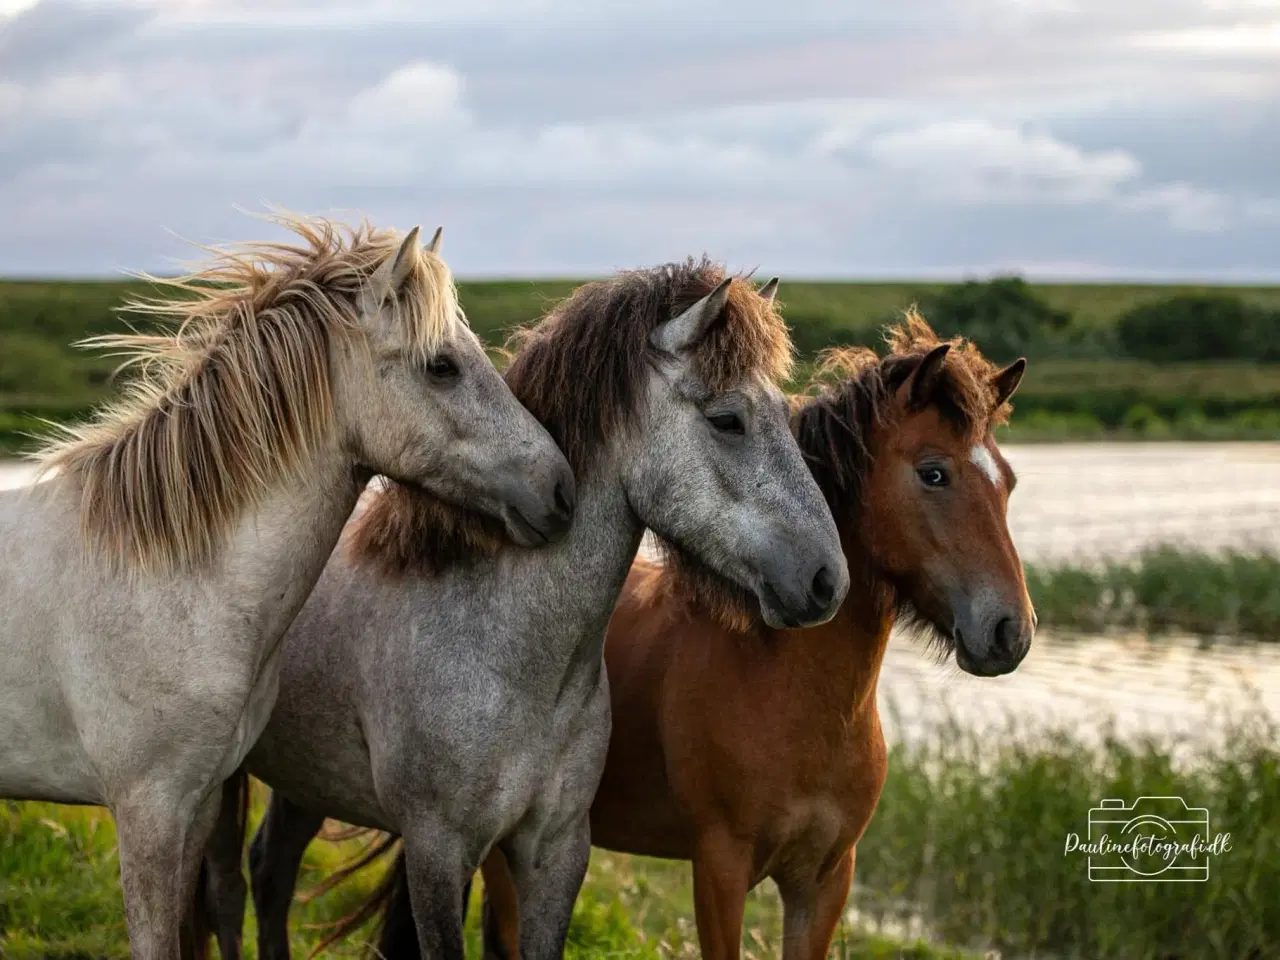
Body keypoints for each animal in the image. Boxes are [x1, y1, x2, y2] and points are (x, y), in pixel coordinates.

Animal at [473, 312, 1039, 957]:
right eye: (934, 473)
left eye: (1008, 483)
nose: (1011, 630)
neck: (791, 694)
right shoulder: (720, 869)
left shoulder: (824, 880)